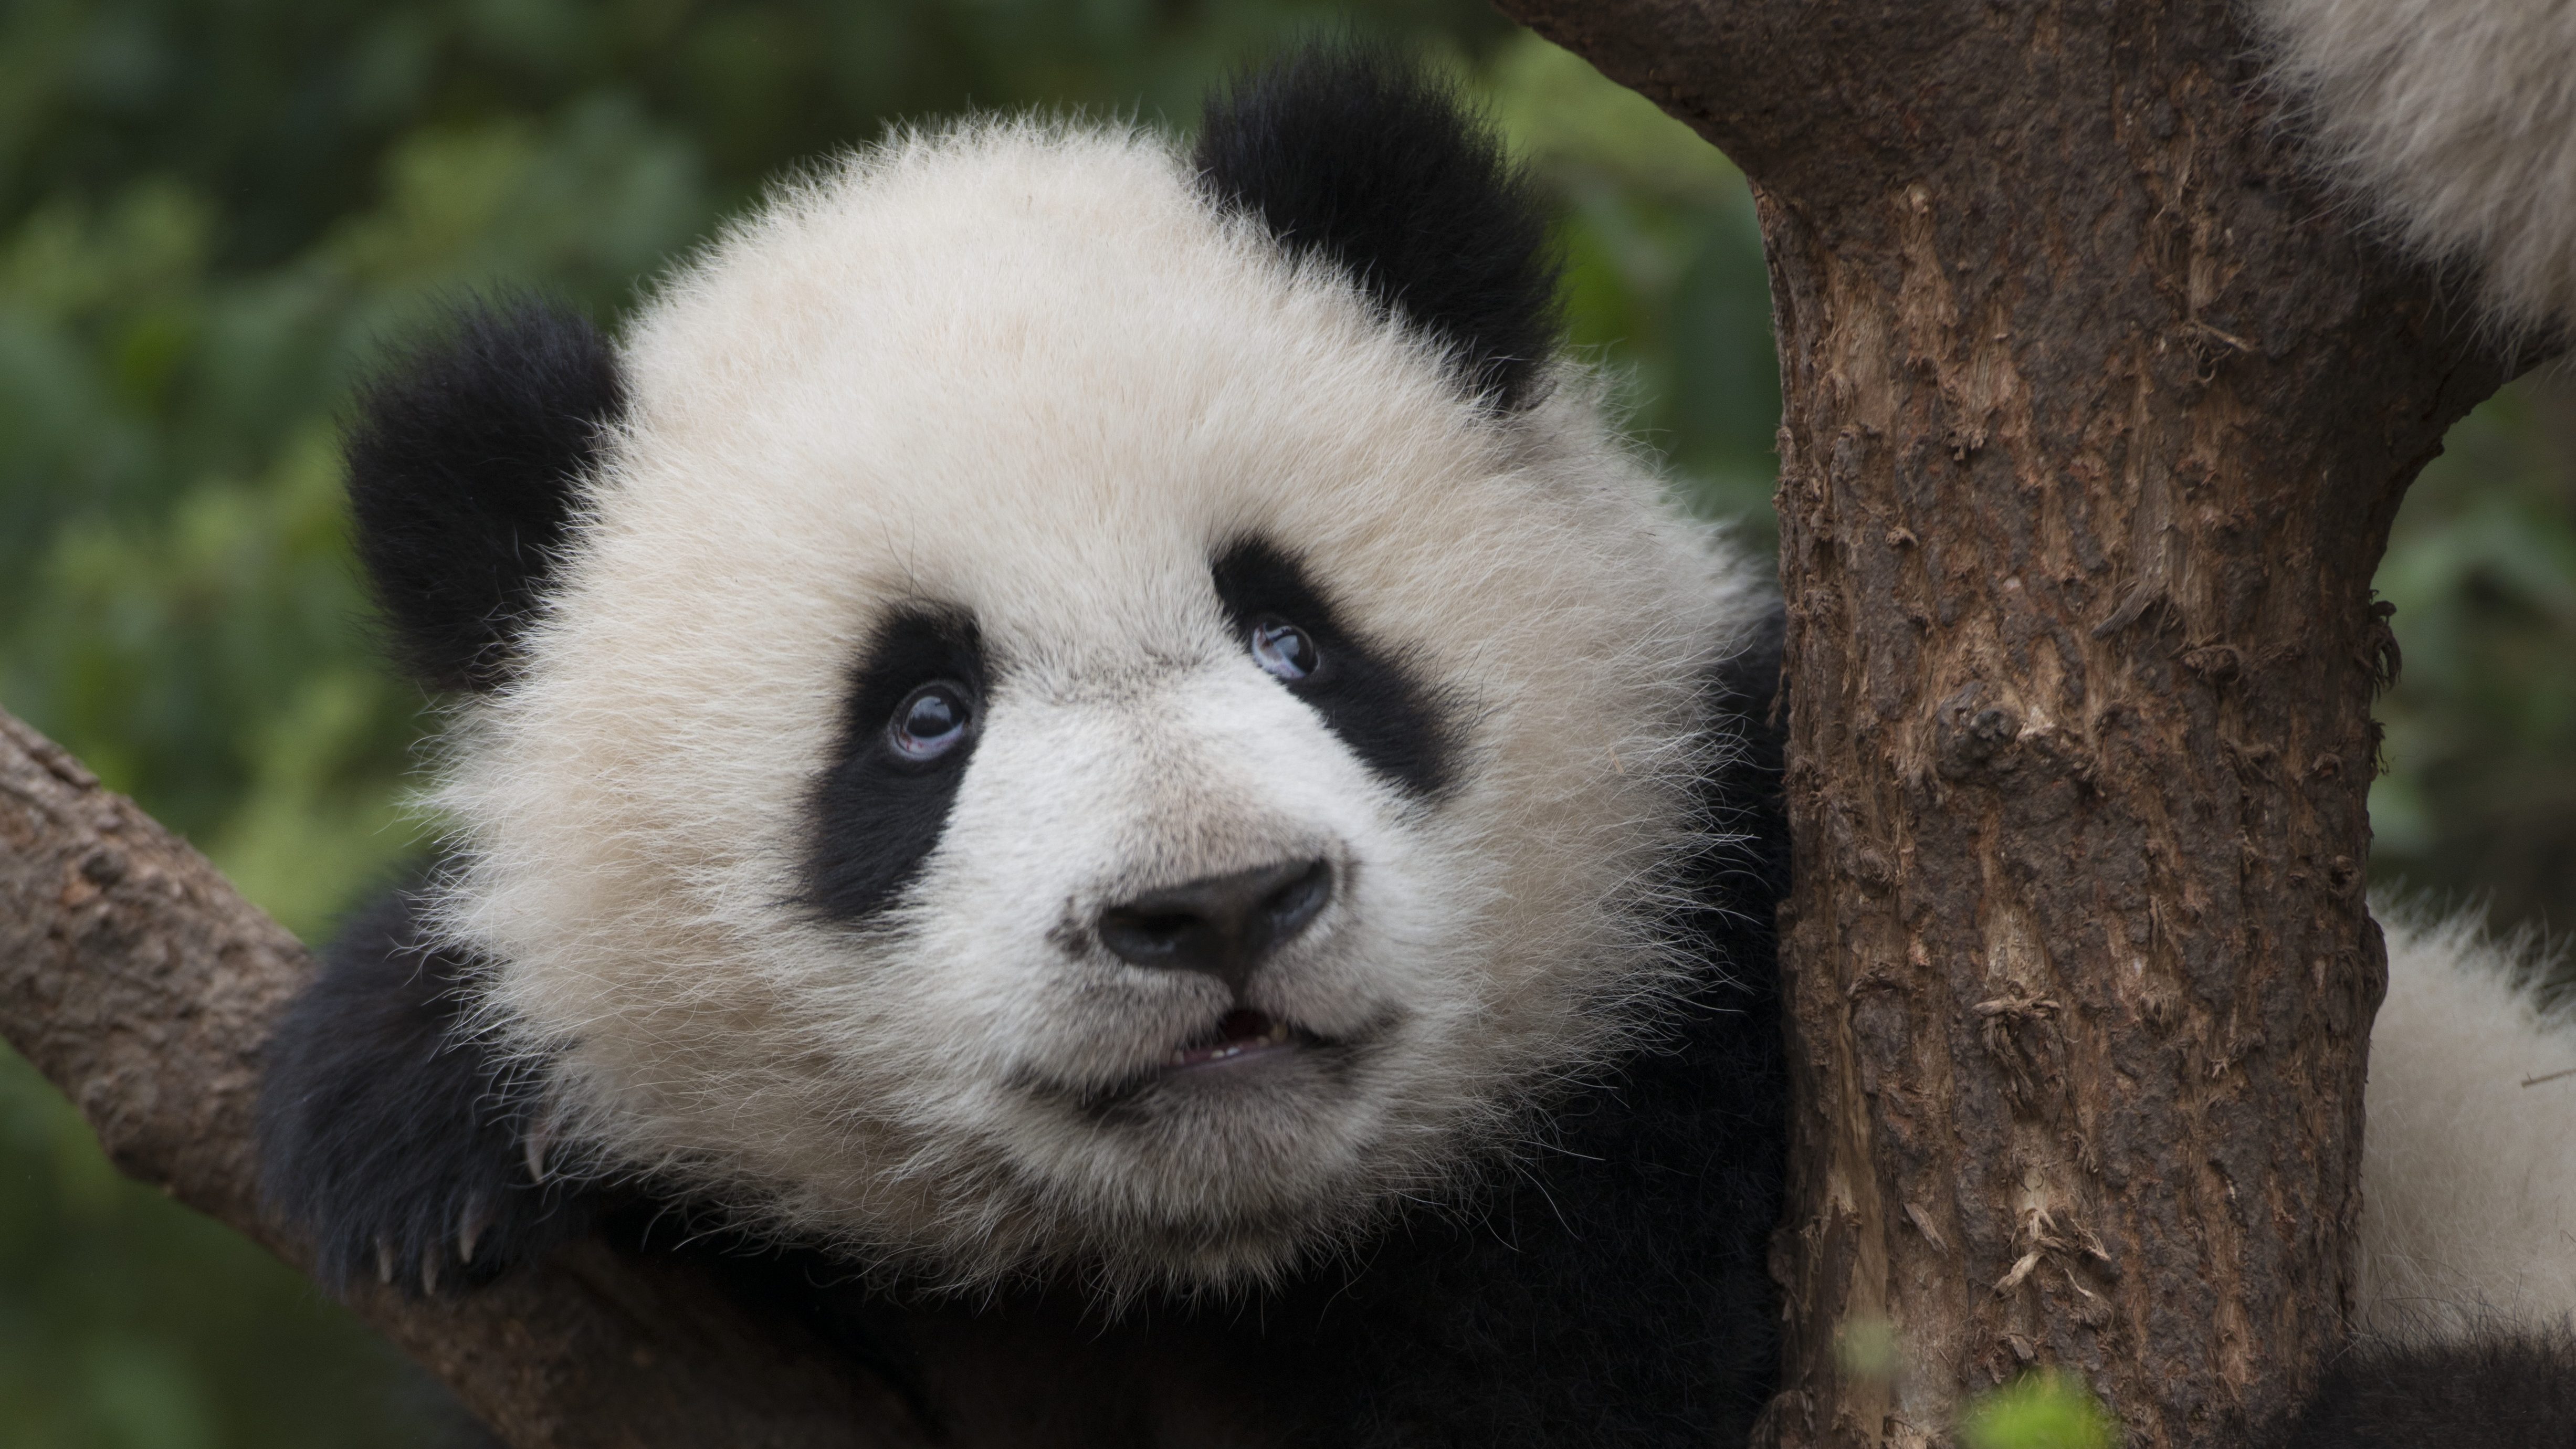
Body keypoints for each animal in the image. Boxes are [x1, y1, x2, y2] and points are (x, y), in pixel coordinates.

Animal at [254, 39, 2576, 1449]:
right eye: (917, 719)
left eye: (1292, 634)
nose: (1213, 911)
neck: (1224, 1260)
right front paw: (421, 1101)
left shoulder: (1713, 1014)